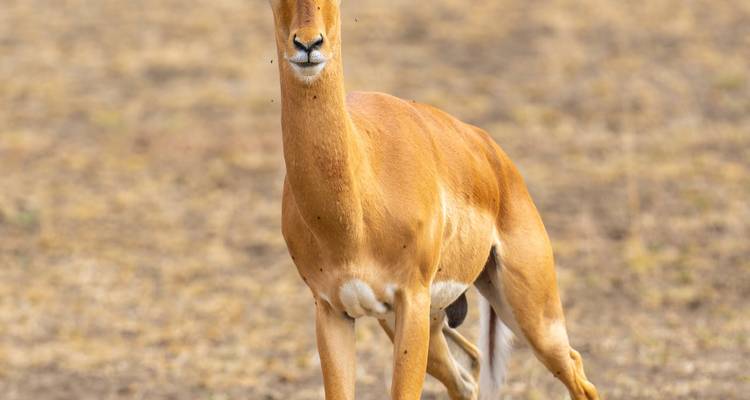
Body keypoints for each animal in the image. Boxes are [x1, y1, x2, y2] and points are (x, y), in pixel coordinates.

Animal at [269, 1, 600, 399]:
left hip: (531, 313)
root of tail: (493, 155)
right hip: (422, 321)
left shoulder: (411, 298)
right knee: (470, 373)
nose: (307, 44)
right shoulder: (332, 309)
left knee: (578, 373)